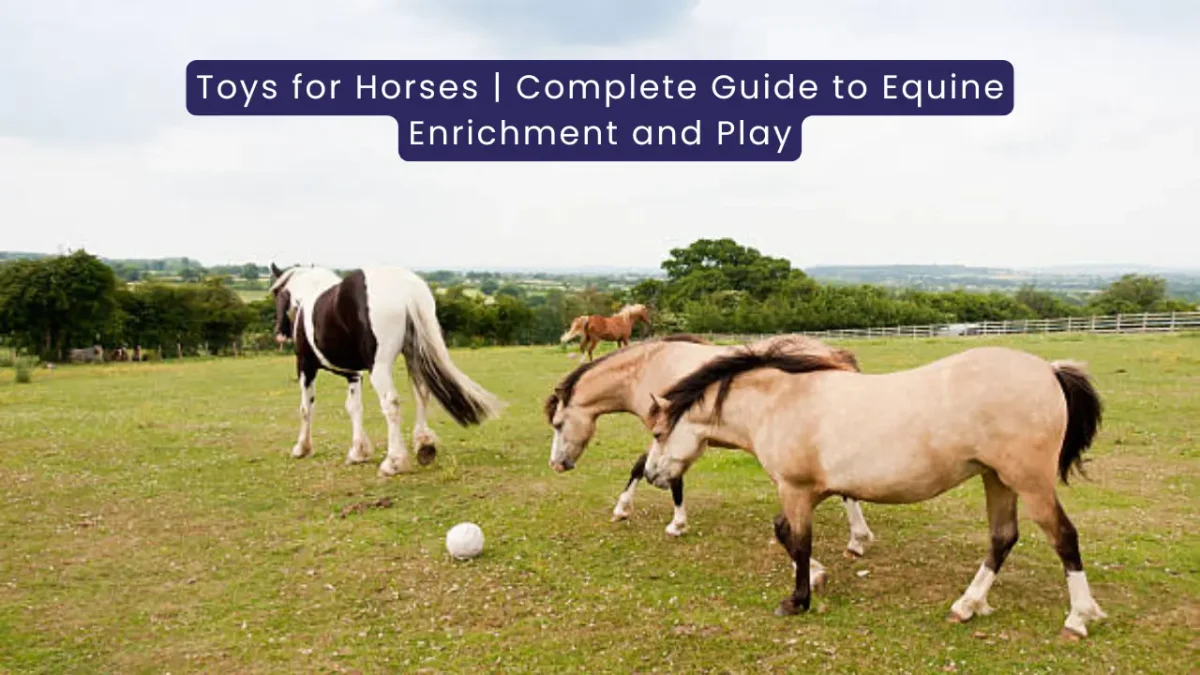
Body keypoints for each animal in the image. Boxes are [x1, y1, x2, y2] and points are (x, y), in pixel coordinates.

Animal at [268, 263, 504, 476]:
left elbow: (306, 407)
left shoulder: (306, 367)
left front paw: (302, 448)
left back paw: (394, 462)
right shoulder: (353, 374)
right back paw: (424, 445)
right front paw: (358, 452)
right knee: (422, 394)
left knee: (391, 404)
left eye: (276, 293)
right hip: (414, 356)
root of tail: (406, 290)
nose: (279, 333)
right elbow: (354, 407)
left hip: (380, 368)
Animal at [544, 333, 876, 563]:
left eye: (558, 424)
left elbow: (653, 470)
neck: (646, 368)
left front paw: (663, 520)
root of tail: (835, 355)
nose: (556, 464)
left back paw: (856, 540)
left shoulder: (669, 433)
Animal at [641, 342, 1108, 639]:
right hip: (997, 480)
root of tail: (1048, 369)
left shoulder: (795, 490)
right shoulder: (814, 491)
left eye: (659, 432)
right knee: (1003, 538)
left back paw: (1079, 618)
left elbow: (798, 539)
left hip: (1030, 483)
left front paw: (798, 599)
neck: (778, 402)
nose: (650, 474)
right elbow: (785, 533)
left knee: (1064, 538)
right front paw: (819, 576)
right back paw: (968, 605)